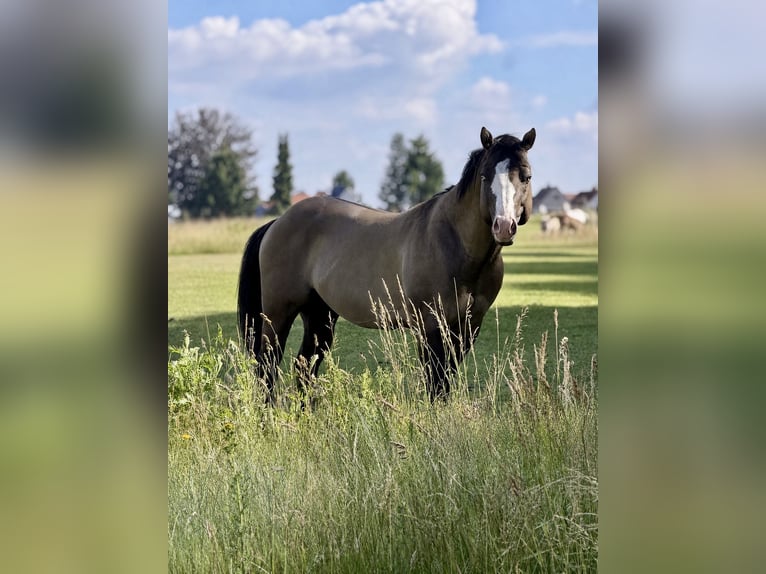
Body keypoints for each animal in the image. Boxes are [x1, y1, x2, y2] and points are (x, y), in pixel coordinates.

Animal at [238, 126, 536, 403]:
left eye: (526, 176)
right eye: (485, 176)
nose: (504, 226)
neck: (453, 243)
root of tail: (278, 221)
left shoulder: (468, 326)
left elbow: (445, 379)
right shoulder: (430, 325)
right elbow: (434, 382)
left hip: (319, 315)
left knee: (304, 367)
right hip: (278, 314)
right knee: (267, 367)